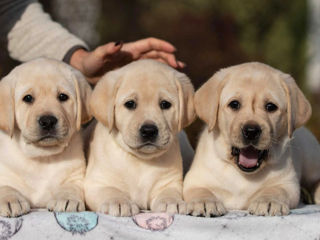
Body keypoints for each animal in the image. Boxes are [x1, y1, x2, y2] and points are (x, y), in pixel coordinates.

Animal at [0, 58, 91, 218]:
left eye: (63, 97)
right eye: (28, 98)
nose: (48, 121)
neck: (42, 157)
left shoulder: (75, 175)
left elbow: (71, 186)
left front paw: (67, 198)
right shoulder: (4, 173)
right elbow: (5, 186)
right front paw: (10, 200)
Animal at [84, 59, 195, 217]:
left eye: (165, 104)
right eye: (130, 104)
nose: (149, 131)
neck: (140, 160)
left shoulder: (169, 182)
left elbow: (168, 192)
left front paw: (172, 201)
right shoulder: (96, 183)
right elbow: (110, 191)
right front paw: (119, 202)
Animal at [182, 62, 320, 217]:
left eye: (271, 107)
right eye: (234, 104)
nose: (251, 131)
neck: (243, 174)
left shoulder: (288, 184)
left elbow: (276, 190)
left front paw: (268, 201)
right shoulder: (194, 180)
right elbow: (201, 190)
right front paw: (205, 202)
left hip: (311, 159)